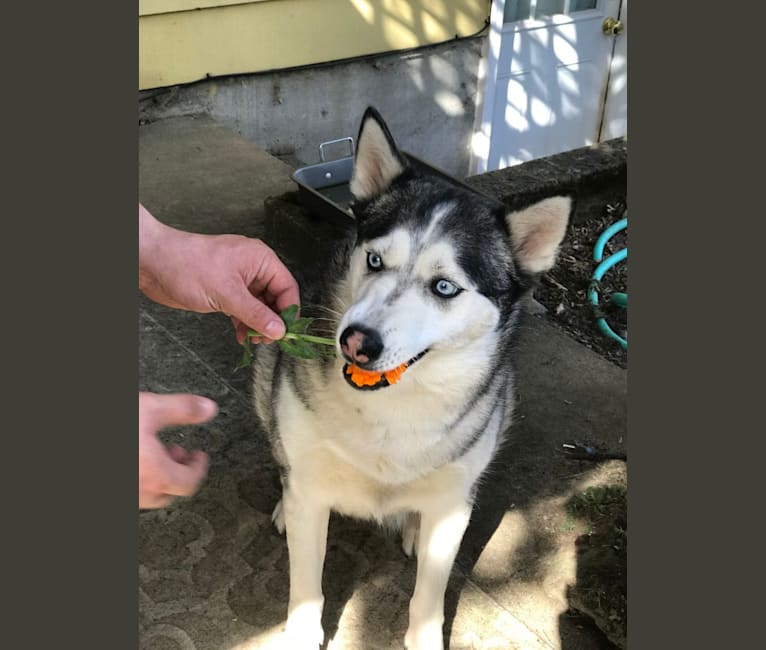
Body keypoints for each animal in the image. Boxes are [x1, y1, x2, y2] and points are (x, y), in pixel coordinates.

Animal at [255, 107, 572, 648]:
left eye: (444, 287)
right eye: (375, 260)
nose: (356, 341)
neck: (392, 408)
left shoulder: (454, 504)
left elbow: (430, 591)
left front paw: (423, 636)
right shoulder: (311, 488)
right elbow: (306, 579)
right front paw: (300, 631)